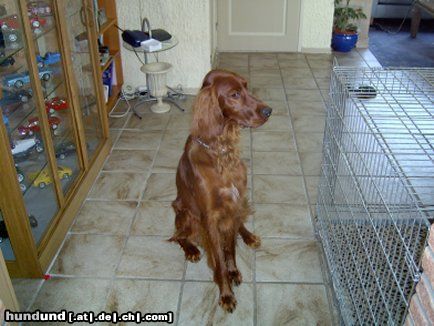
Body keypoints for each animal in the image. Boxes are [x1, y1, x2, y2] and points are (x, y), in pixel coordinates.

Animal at [170, 70, 272, 312]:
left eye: (246, 87)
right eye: (234, 94)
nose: (268, 111)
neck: (220, 152)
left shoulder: (233, 207)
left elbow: (230, 249)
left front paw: (233, 270)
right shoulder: (210, 218)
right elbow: (218, 259)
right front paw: (226, 293)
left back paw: (249, 235)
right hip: (184, 212)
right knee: (178, 235)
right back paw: (192, 250)